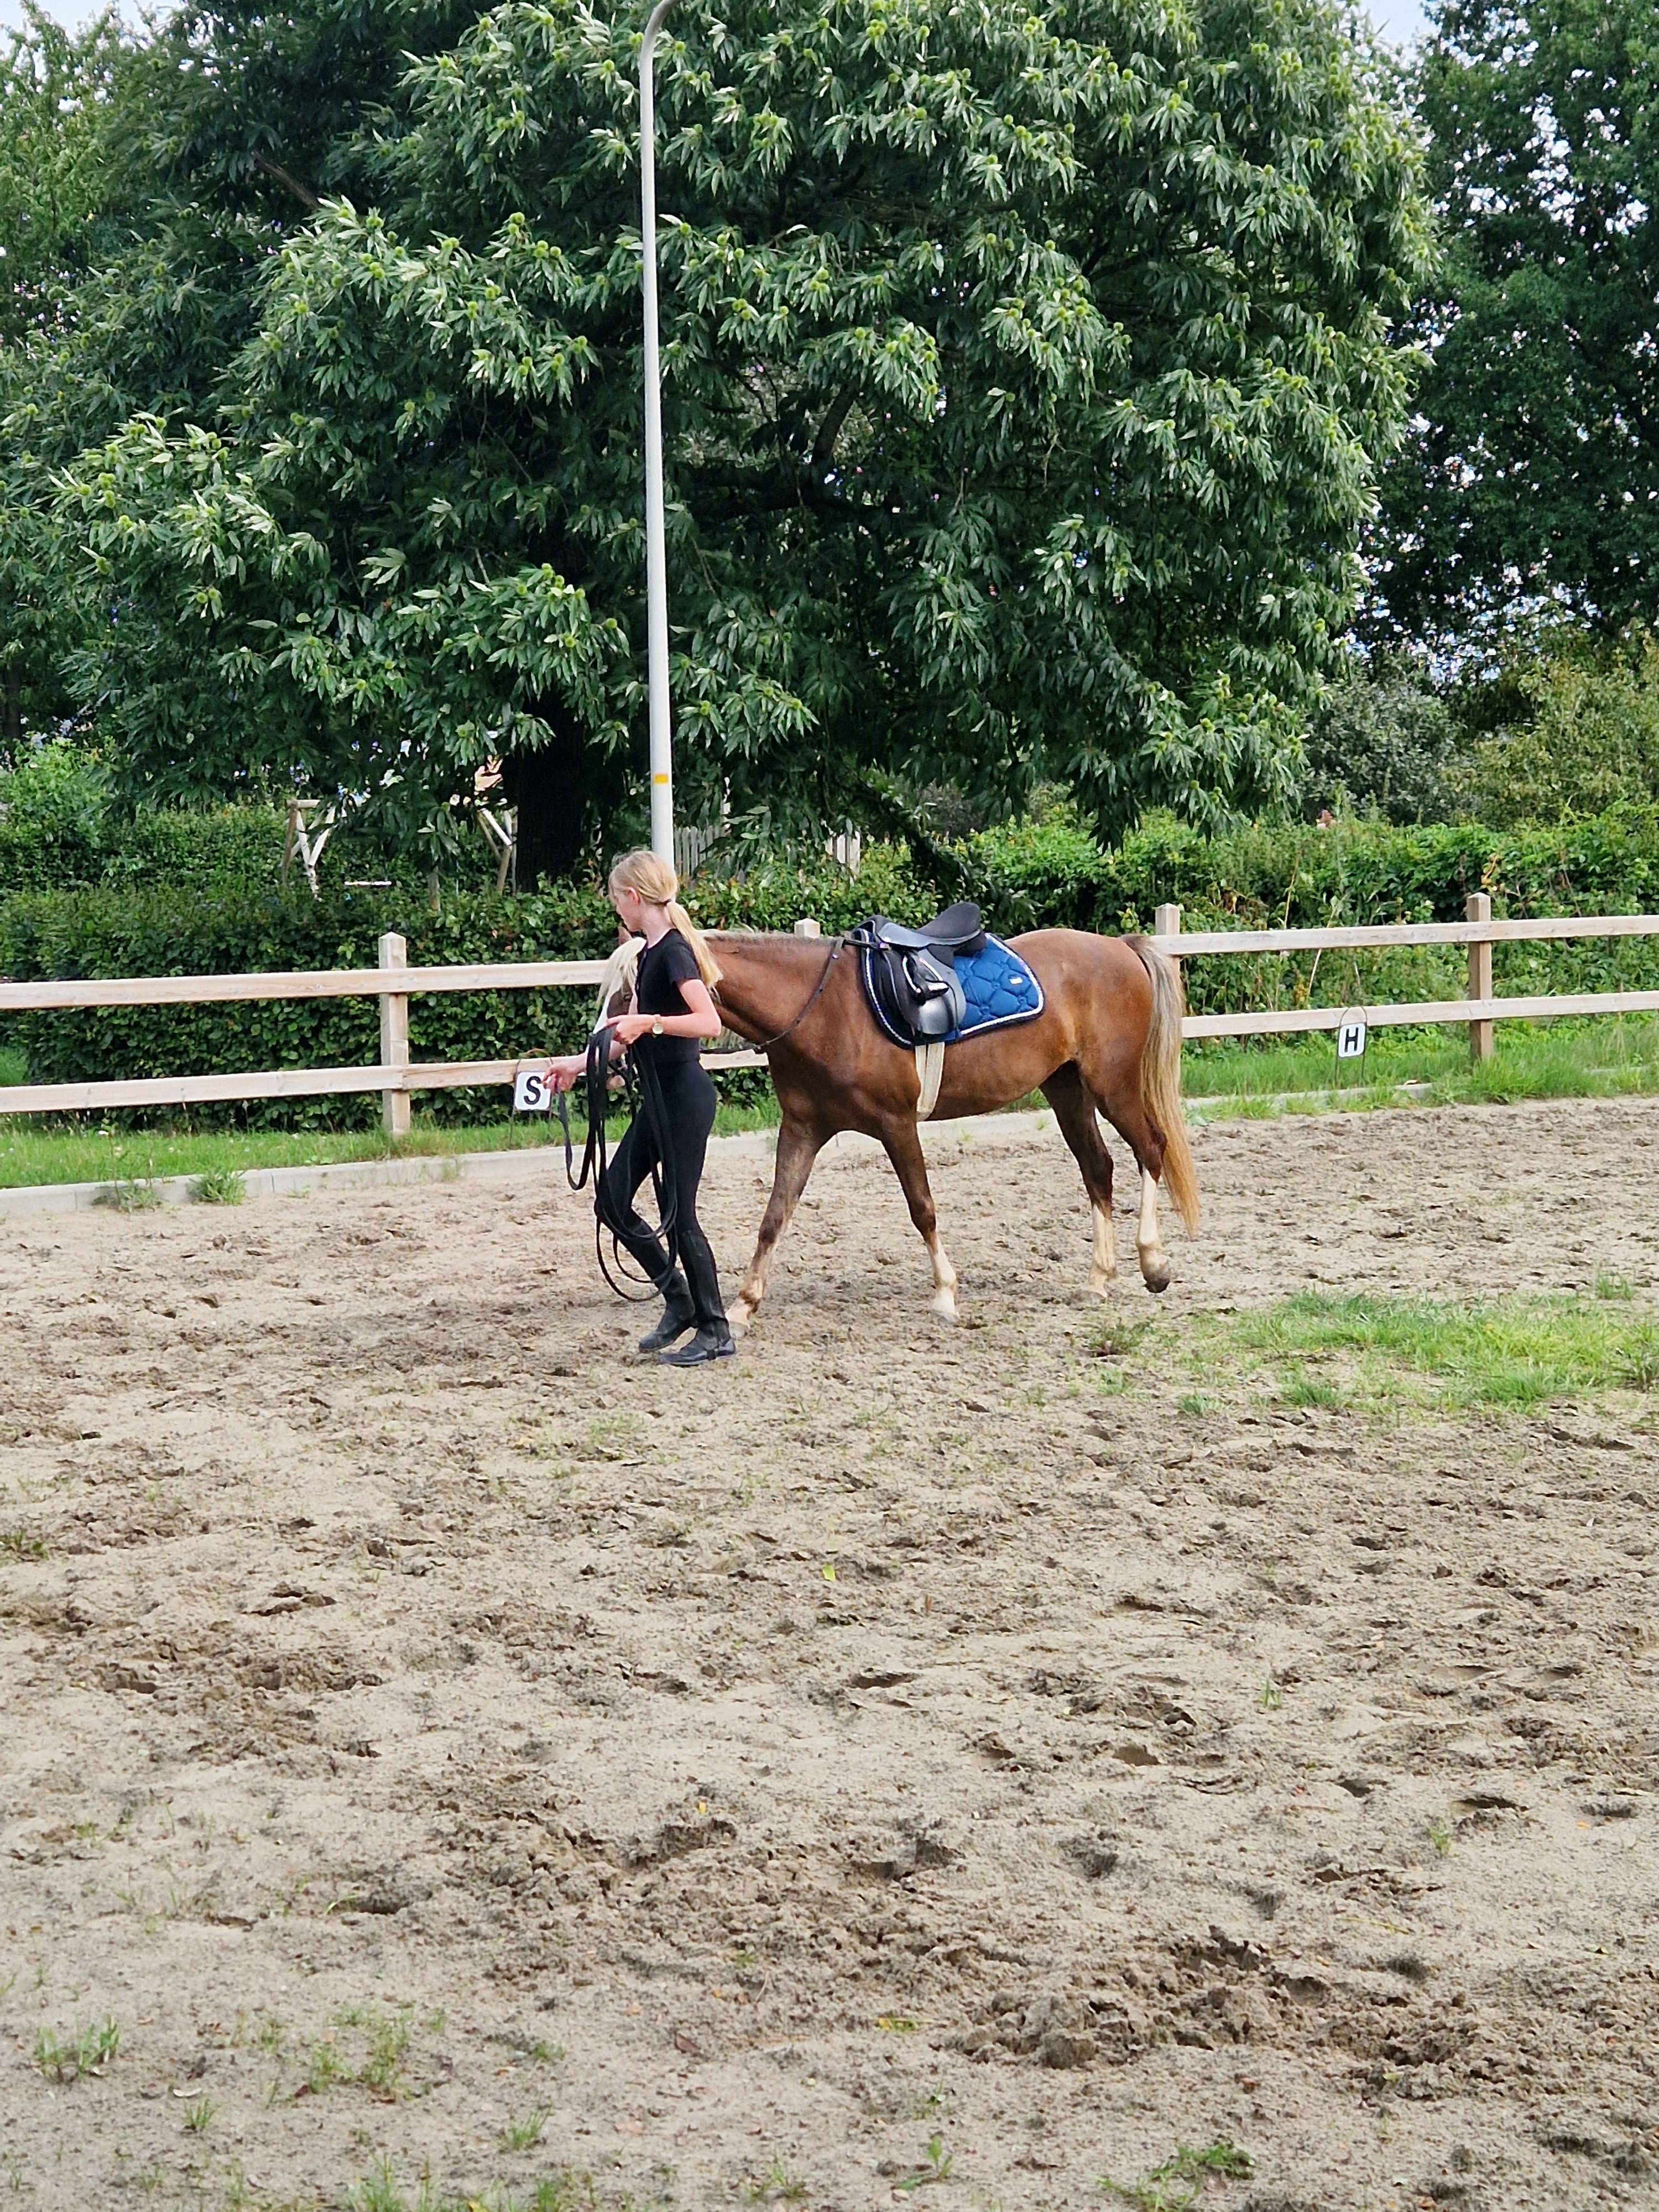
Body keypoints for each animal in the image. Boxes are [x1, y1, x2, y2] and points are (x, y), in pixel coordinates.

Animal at [597, 926, 1199, 1331]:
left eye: (632, 989)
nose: (602, 1054)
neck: (822, 1009)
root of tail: (1120, 947)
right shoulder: (803, 1130)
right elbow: (774, 1216)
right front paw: (744, 1304)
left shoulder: (896, 1124)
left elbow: (922, 1208)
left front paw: (946, 1295)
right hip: (1067, 1090)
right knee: (1099, 1169)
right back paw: (1099, 1278)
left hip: (1113, 1086)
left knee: (1152, 1150)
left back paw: (1154, 1263)